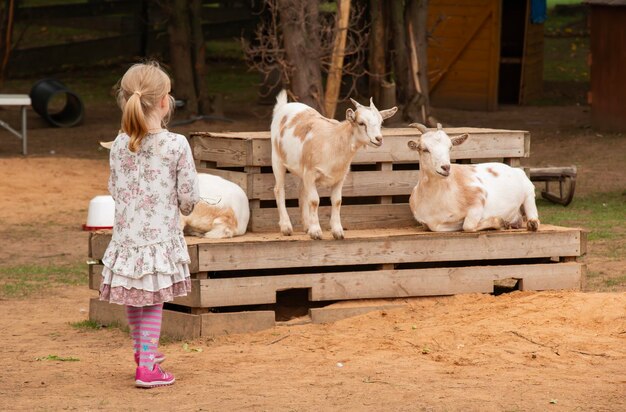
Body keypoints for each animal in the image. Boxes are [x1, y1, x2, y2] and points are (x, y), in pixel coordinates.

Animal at [270, 89, 398, 238]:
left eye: (381, 122)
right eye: (361, 123)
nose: (378, 139)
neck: (333, 141)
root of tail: (283, 107)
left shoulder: (339, 177)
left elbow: (337, 201)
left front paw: (337, 231)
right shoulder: (311, 173)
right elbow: (314, 200)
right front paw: (316, 232)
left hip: (302, 170)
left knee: (302, 192)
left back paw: (307, 226)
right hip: (277, 158)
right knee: (279, 189)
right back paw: (286, 227)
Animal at [404, 122, 536, 232]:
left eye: (450, 147)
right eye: (425, 149)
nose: (446, 167)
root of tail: (514, 169)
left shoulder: (478, 197)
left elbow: (468, 226)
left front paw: (501, 222)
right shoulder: (429, 223)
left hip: (528, 191)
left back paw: (532, 224)